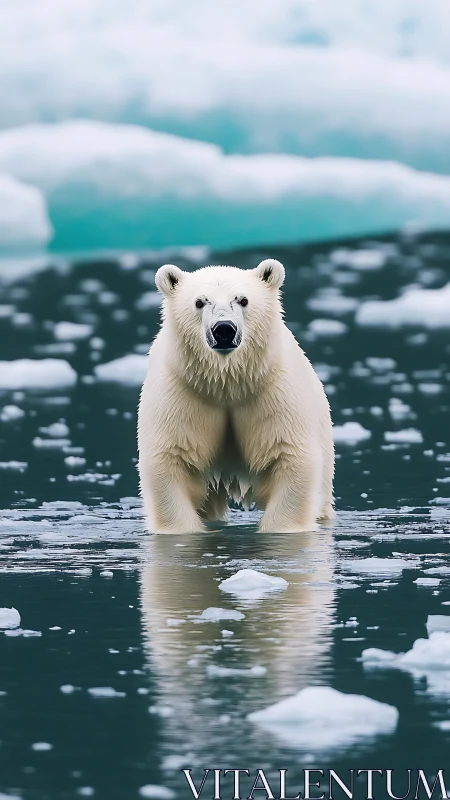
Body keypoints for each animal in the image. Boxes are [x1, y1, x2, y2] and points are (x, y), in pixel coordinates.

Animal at [137, 259, 334, 534]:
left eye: (243, 300)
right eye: (200, 302)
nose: (223, 330)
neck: (228, 384)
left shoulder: (273, 391)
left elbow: (289, 455)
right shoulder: (181, 391)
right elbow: (170, 458)